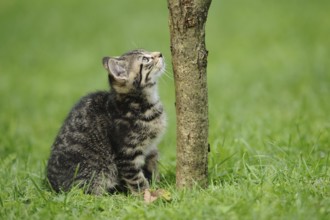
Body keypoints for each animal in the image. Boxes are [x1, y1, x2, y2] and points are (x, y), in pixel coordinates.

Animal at [45, 49, 168, 194]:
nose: (160, 53)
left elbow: (153, 162)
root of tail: (52, 186)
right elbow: (136, 179)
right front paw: (146, 194)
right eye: (145, 59)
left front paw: (157, 182)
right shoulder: (126, 154)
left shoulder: (150, 147)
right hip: (95, 173)